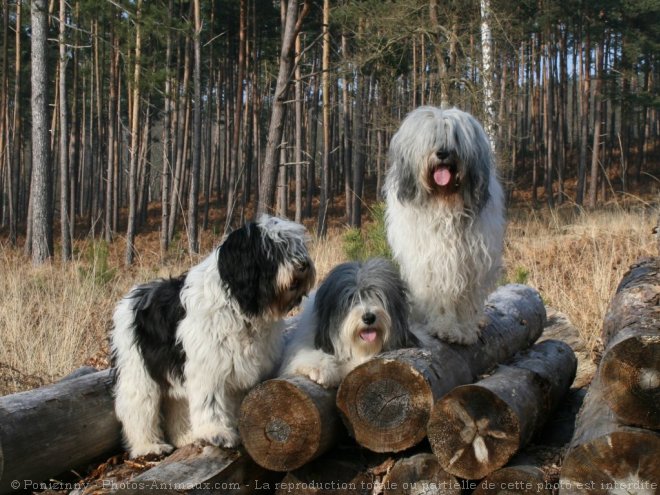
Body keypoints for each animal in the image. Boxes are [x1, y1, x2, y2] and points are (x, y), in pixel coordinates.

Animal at [111, 216, 318, 458]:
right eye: (273, 250)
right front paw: (217, 432)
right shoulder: (208, 366)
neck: (239, 306)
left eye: (297, 245)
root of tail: (133, 296)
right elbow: (210, 402)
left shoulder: (242, 366)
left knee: (176, 402)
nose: (303, 265)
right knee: (137, 408)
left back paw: (186, 436)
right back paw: (148, 446)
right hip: (137, 370)